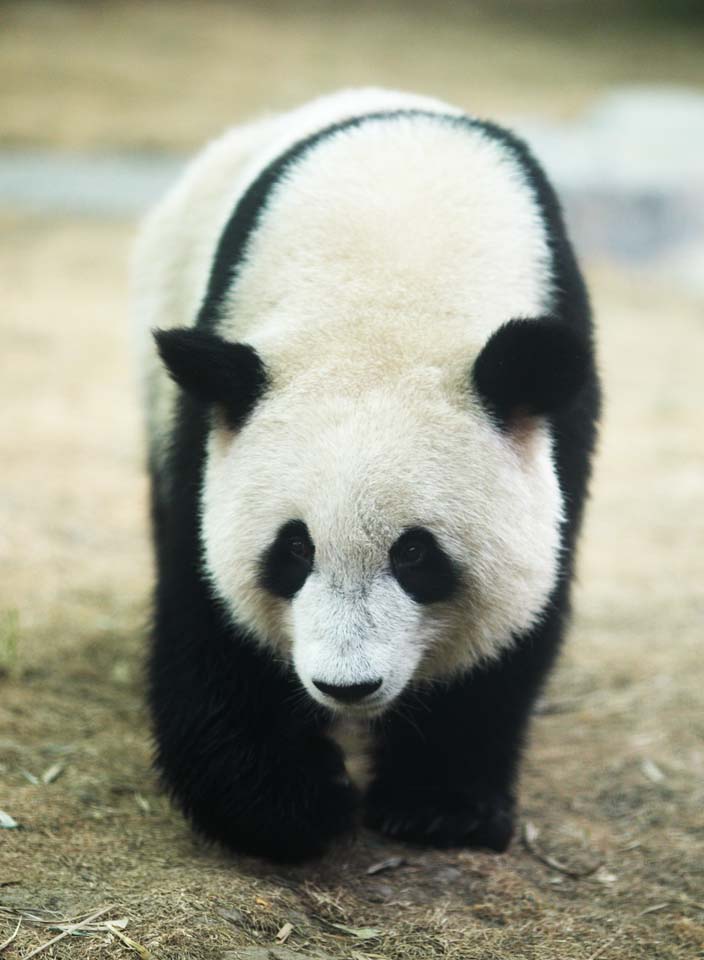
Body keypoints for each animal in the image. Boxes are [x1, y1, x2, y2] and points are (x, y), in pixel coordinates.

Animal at [132, 88, 600, 864]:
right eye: (293, 550)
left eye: (416, 554)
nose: (346, 686)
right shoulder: (221, 398)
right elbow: (210, 614)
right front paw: (291, 802)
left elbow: (516, 624)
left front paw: (438, 808)